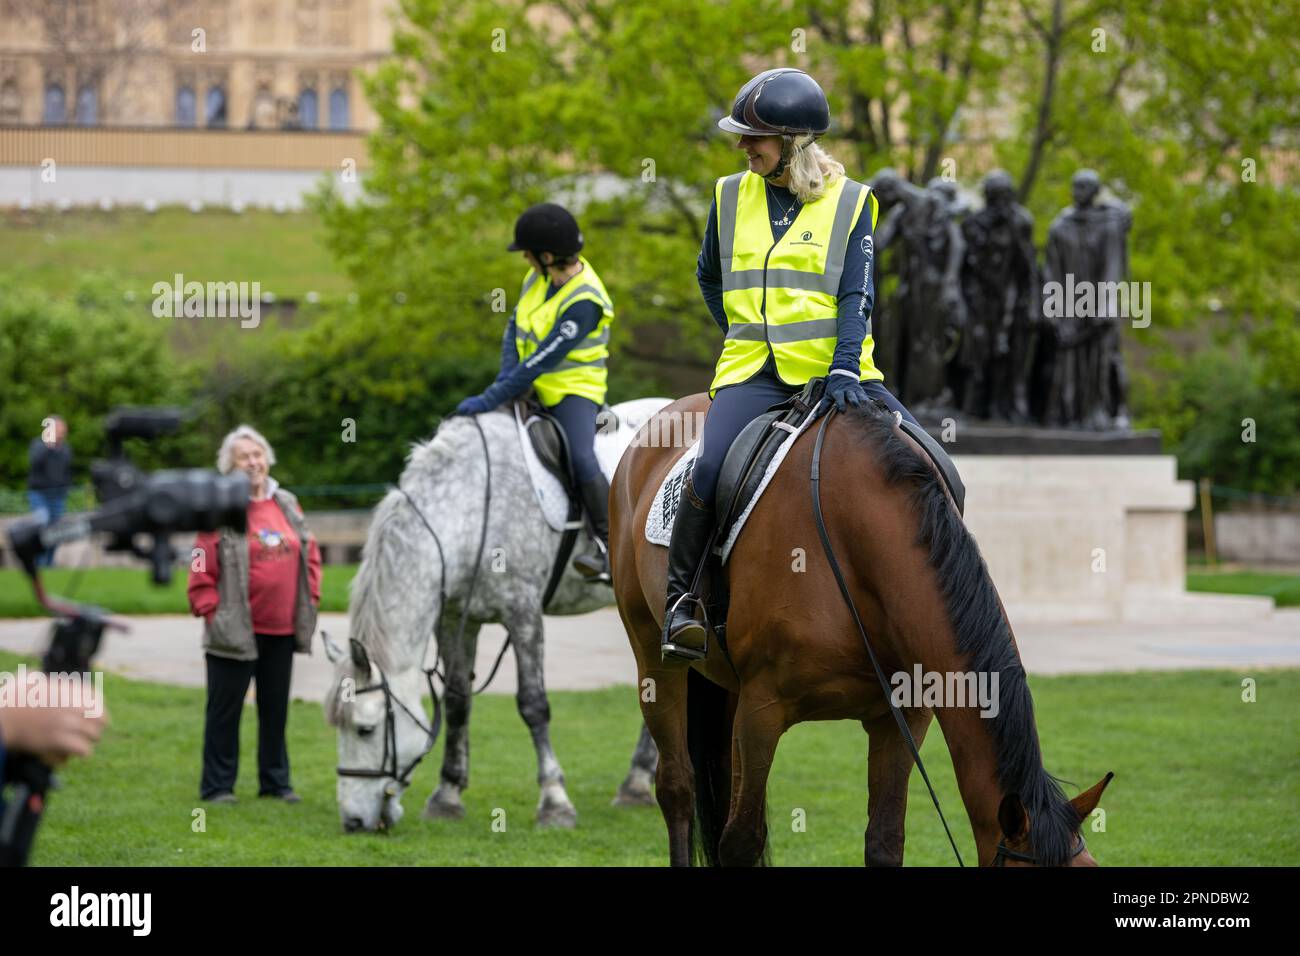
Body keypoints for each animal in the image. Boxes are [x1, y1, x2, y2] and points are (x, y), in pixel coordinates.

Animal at [321, 400, 665, 832]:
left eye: (366, 730)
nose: (352, 821)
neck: (469, 508)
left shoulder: (523, 614)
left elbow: (533, 704)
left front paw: (554, 801)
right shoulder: (455, 620)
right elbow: (457, 702)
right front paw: (447, 794)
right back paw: (637, 781)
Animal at [605, 395, 1107, 868]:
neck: (856, 544)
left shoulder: (903, 717)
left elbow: (883, 843)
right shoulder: (762, 709)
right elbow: (741, 842)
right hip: (655, 658)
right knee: (677, 788)